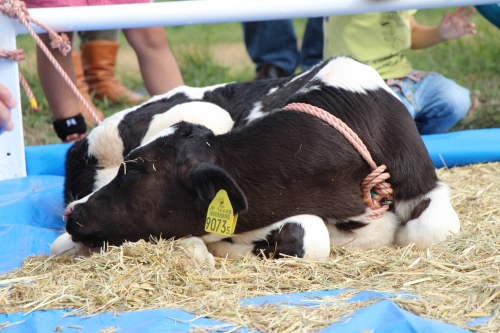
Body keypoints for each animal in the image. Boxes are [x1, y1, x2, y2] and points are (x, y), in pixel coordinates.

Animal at [52, 57, 458, 264]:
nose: (74, 212)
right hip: (202, 109)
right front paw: (219, 248)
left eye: (135, 171)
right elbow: (310, 233)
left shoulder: (423, 181)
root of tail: (78, 145)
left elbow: (432, 230)